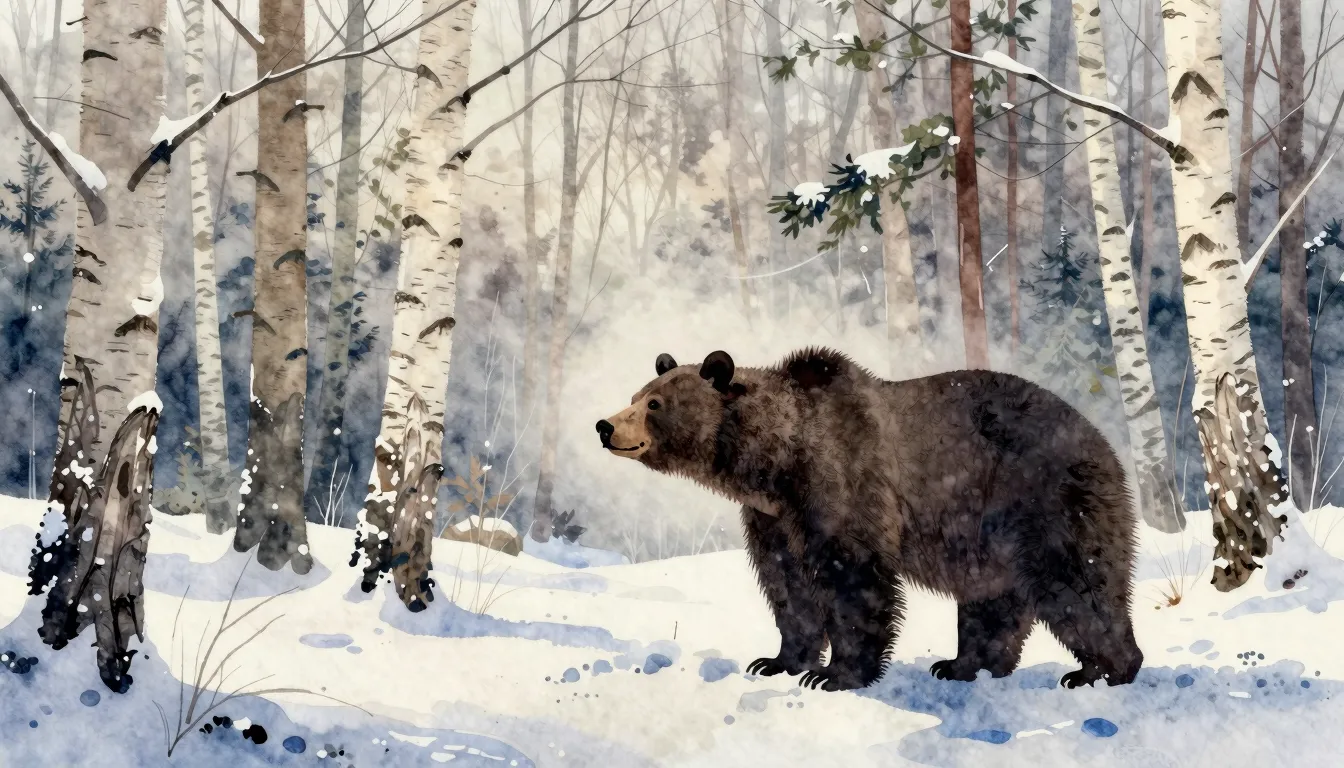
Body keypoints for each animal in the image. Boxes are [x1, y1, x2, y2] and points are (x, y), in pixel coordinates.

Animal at [596, 347, 1143, 692]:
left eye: (654, 403)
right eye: (636, 393)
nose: (605, 425)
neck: (775, 462)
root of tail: (1103, 440)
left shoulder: (843, 483)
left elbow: (853, 578)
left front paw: (834, 674)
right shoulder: (773, 518)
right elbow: (787, 585)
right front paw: (777, 661)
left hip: (1044, 498)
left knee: (1078, 582)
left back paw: (1100, 671)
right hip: (986, 535)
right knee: (992, 597)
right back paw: (963, 666)